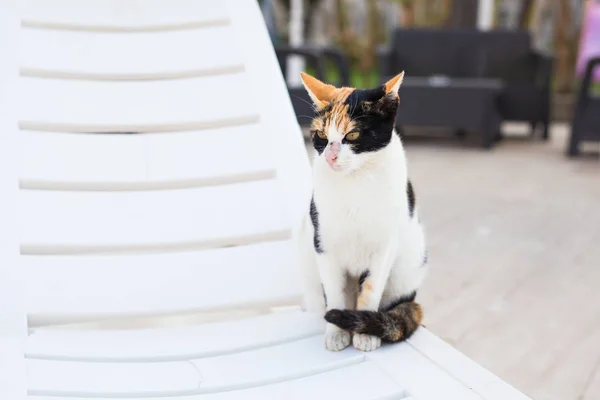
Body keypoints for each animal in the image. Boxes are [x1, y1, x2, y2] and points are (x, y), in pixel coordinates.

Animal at [294, 71, 426, 350]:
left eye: (353, 136)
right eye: (321, 135)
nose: (330, 157)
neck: (355, 181)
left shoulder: (385, 245)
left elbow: (371, 290)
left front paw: (365, 333)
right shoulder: (323, 243)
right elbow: (334, 292)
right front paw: (336, 332)